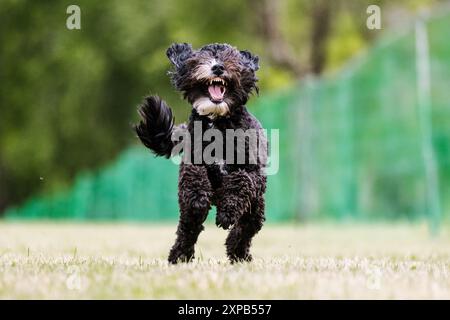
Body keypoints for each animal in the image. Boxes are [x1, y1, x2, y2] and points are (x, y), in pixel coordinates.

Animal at [135, 43, 266, 264]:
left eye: (231, 57)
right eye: (200, 58)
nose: (218, 67)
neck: (218, 121)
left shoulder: (253, 173)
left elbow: (241, 180)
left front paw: (227, 211)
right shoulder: (191, 162)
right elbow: (194, 175)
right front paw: (198, 197)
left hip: (256, 208)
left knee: (246, 228)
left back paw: (239, 253)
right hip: (188, 212)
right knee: (188, 229)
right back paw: (179, 256)